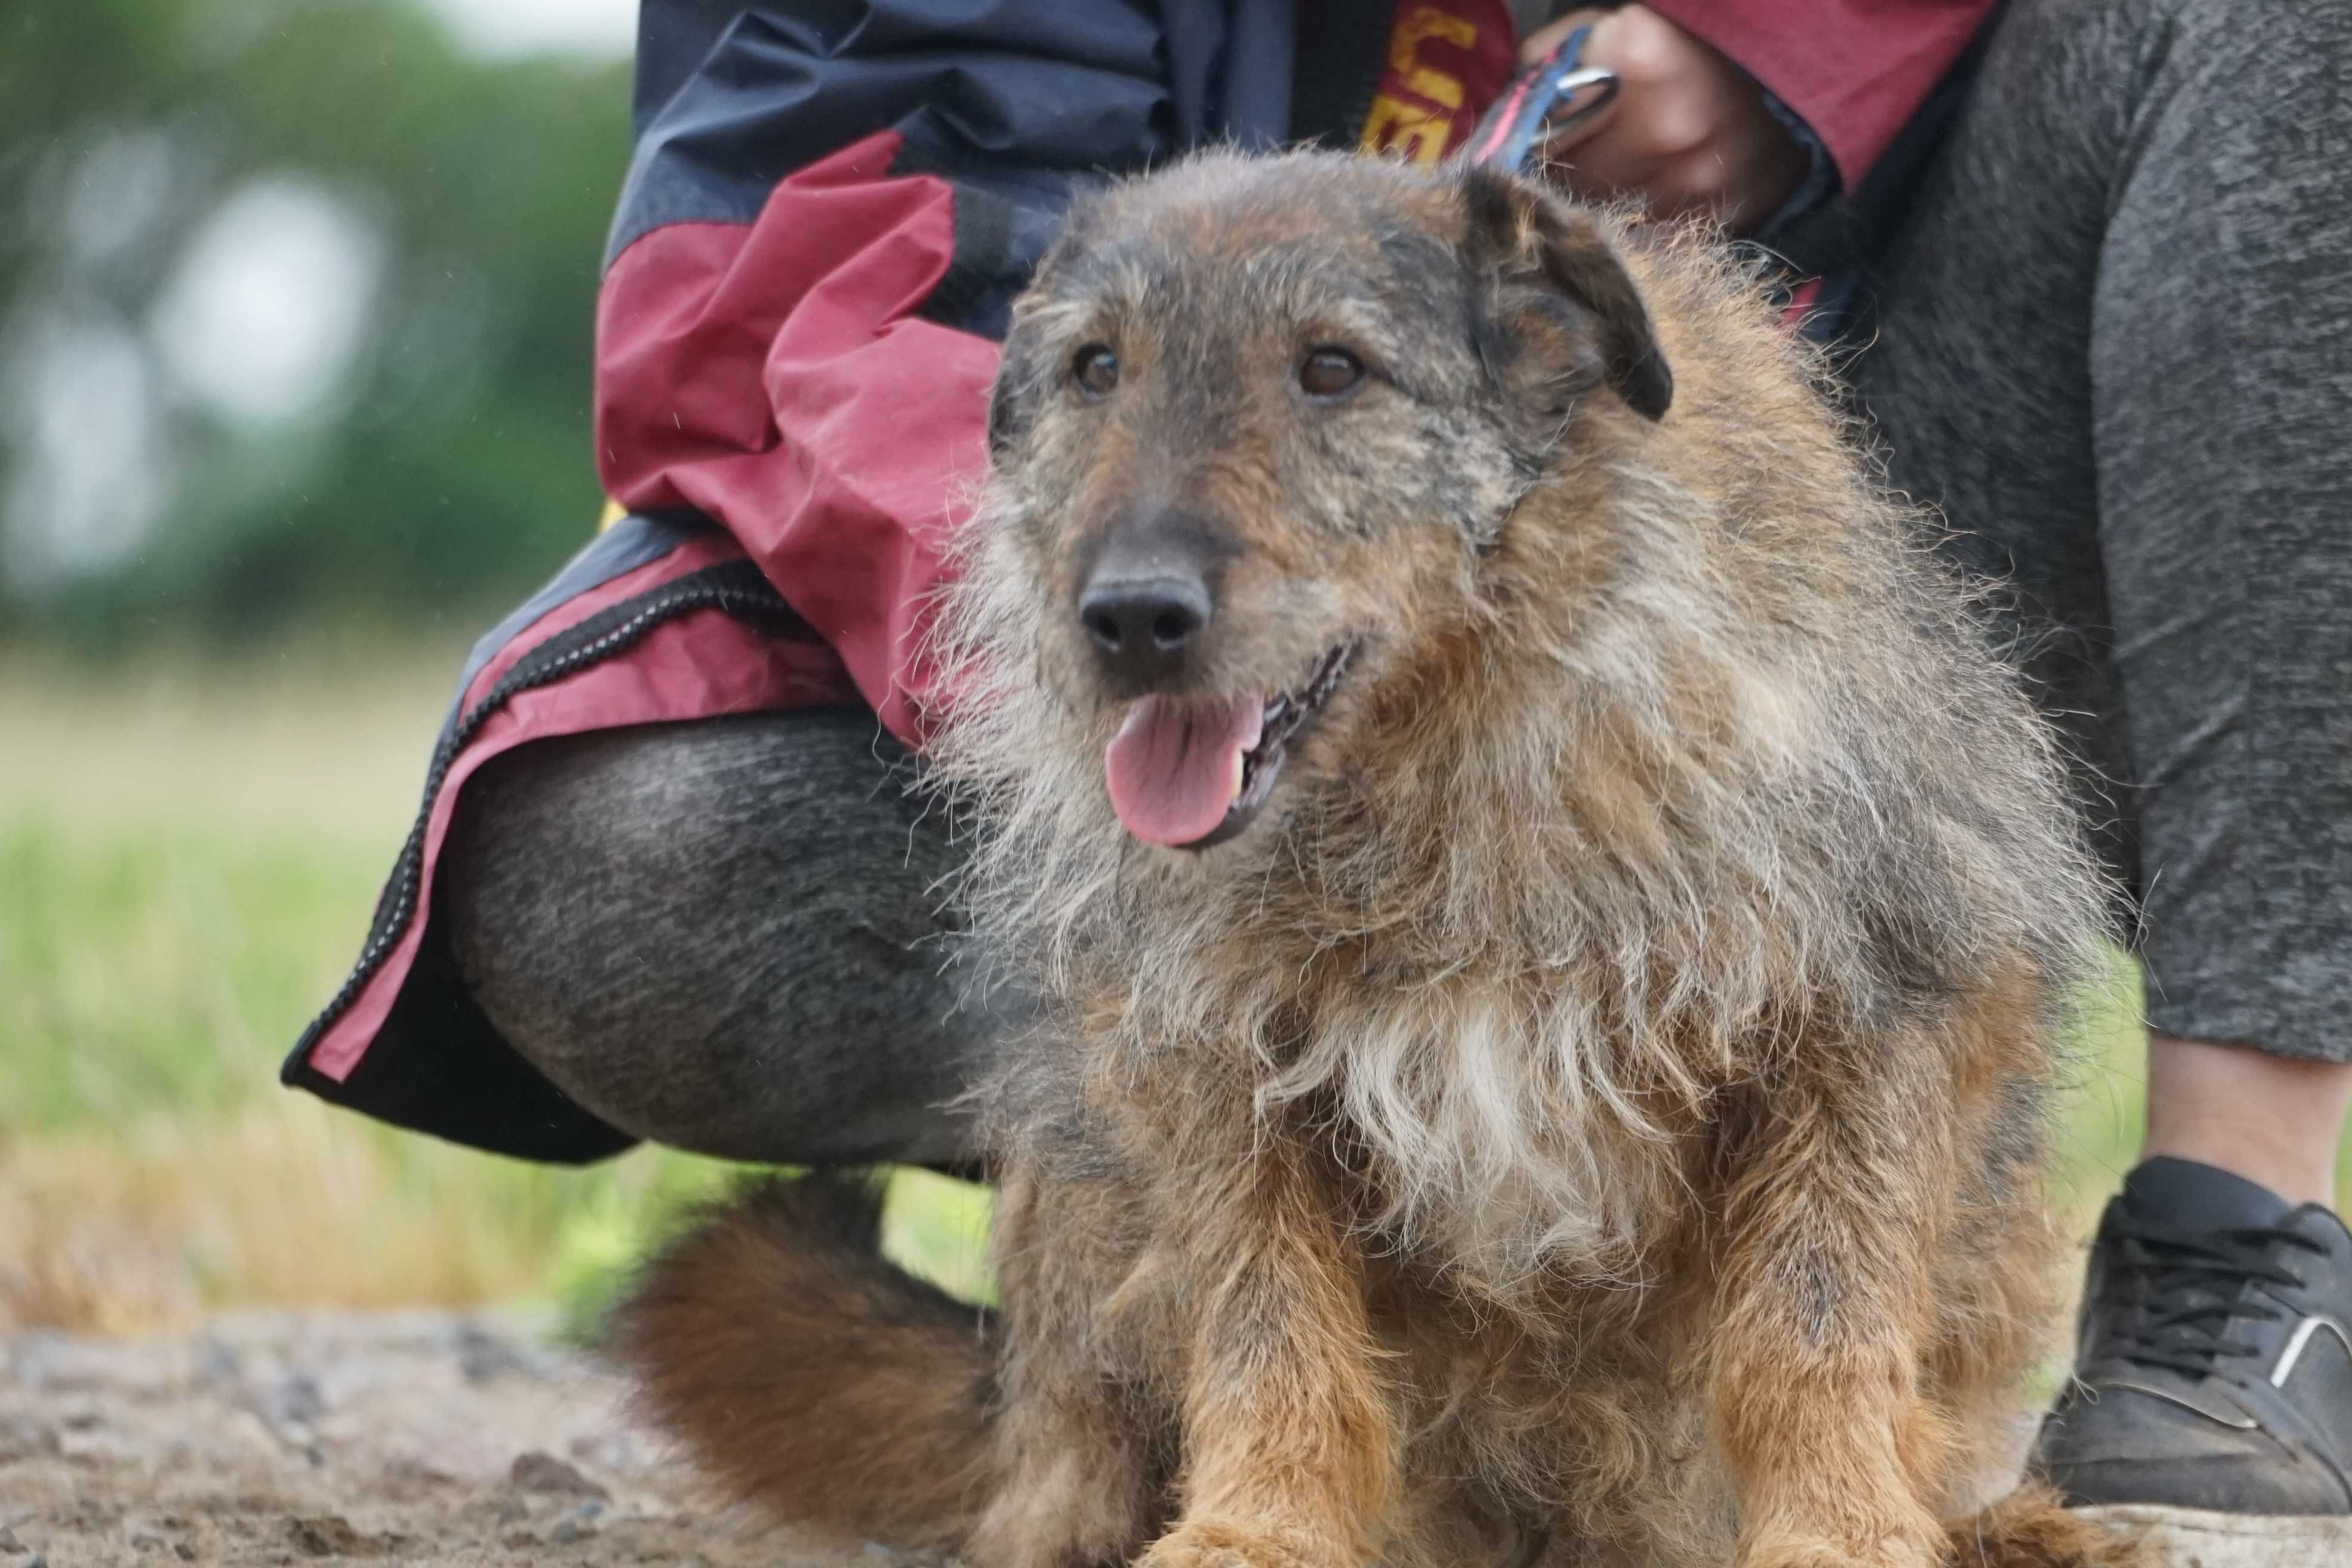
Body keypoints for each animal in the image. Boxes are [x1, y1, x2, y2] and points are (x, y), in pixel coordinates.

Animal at [616, 150, 2145, 1568]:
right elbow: (1267, 1330)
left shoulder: (1876, 1006)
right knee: (1061, 1455)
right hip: (1076, 1186)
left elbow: (1812, 1326)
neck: (1446, 750)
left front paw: (1837, 1527)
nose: (1129, 617)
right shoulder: (1213, 1072)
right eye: (1096, 366)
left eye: (1333, 368)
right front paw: (1257, 1529)